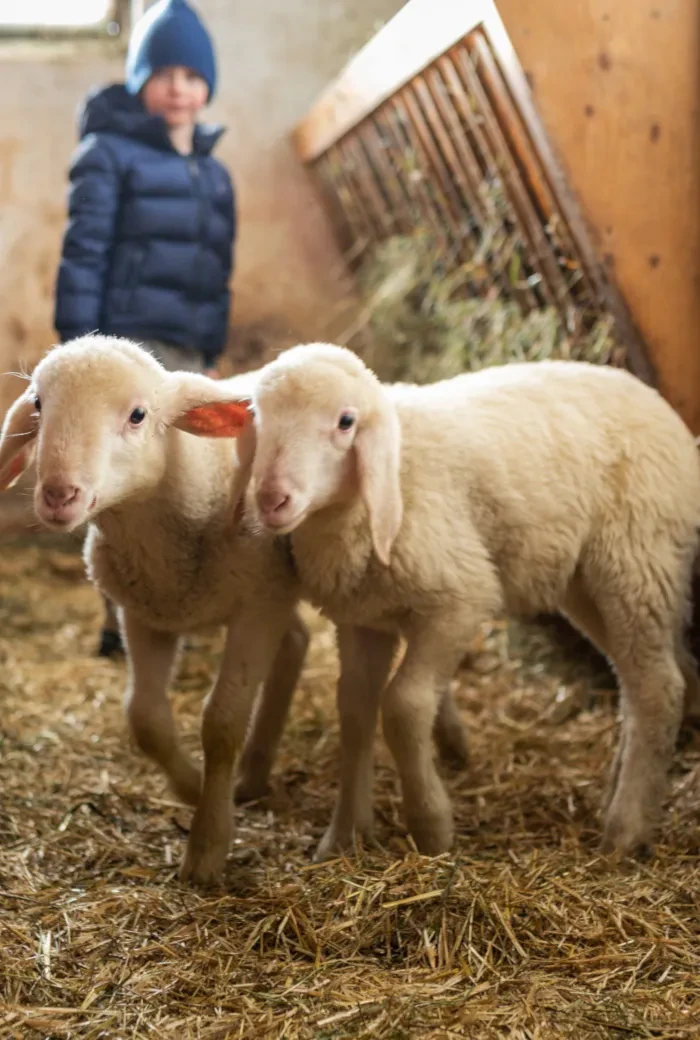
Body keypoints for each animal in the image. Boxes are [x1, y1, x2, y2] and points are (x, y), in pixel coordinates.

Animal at [219, 341, 700, 861]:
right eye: (257, 416)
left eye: (346, 422)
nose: (272, 499)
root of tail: (661, 407)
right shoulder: (365, 619)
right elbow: (355, 711)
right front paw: (344, 836)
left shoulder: (459, 600)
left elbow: (405, 705)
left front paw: (431, 827)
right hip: (592, 582)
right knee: (647, 677)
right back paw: (624, 795)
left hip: (636, 557)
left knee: (657, 686)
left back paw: (624, 830)